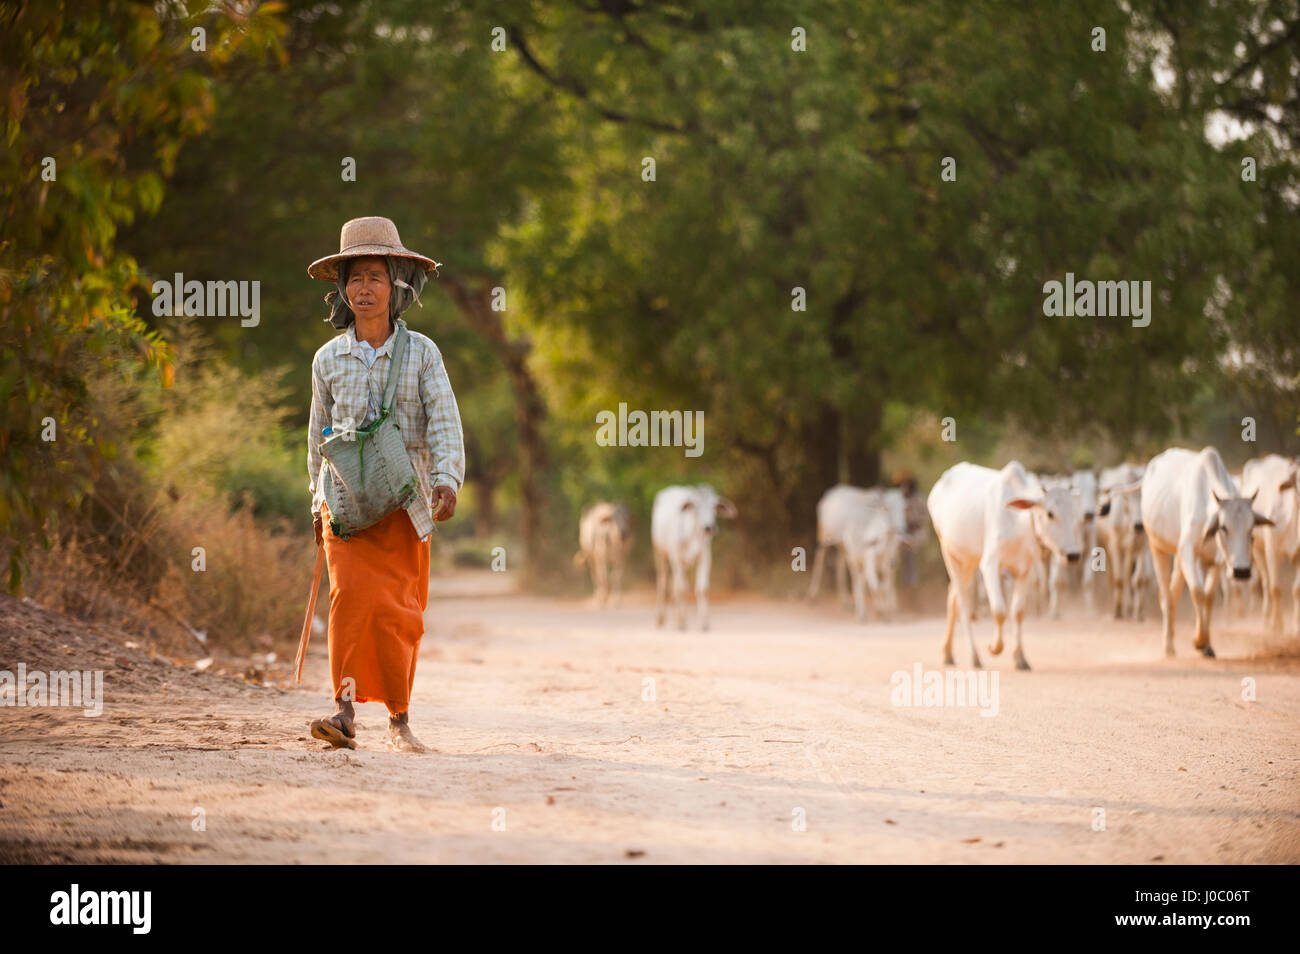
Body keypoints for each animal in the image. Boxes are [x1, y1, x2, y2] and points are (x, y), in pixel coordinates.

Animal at [655, 486, 738, 634]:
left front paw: (704, 623)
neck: (692, 533)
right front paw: (682, 623)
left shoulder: (705, 556)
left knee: (676, 585)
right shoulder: (676, 557)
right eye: (696, 507)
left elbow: (702, 588)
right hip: (661, 554)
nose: (709, 527)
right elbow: (680, 588)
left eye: (714, 506)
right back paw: (661, 618)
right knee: (664, 582)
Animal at [930, 462, 1081, 670]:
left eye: (1075, 513)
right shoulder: (989, 564)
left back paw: (948, 654)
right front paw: (994, 648)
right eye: (1050, 513)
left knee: (952, 597)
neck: (1018, 522)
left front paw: (1020, 658)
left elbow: (1017, 612)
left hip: (968, 562)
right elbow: (1000, 611)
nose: (1073, 555)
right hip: (950, 554)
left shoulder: (1027, 571)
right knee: (962, 604)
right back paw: (974, 656)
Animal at [1144, 447, 1274, 657]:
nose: (1241, 571)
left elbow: (1209, 597)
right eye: (1224, 527)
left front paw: (1208, 645)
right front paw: (1199, 641)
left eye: (1251, 529)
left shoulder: (1216, 561)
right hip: (1158, 547)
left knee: (1175, 592)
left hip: (1184, 559)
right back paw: (1168, 646)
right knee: (1167, 596)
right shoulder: (1188, 550)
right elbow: (1198, 592)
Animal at [1237, 454, 1300, 634]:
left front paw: (1296, 625)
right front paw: (1277, 625)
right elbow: (1275, 589)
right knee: (1265, 584)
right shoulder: (1273, 551)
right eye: (1297, 479)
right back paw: (1266, 619)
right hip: (1257, 550)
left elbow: (1296, 590)